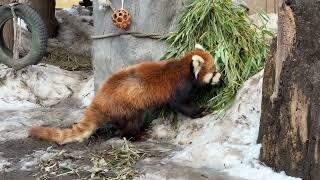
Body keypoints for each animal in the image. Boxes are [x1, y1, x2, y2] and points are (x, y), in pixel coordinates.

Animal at [29, 44, 220, 144]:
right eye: (214, 71)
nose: (222, 75)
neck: (185, 68)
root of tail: (98, 100)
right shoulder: (178, 86)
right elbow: (180, 105)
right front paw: (201, 111)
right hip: (126, 107)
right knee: (130, 124)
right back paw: (135, 135)